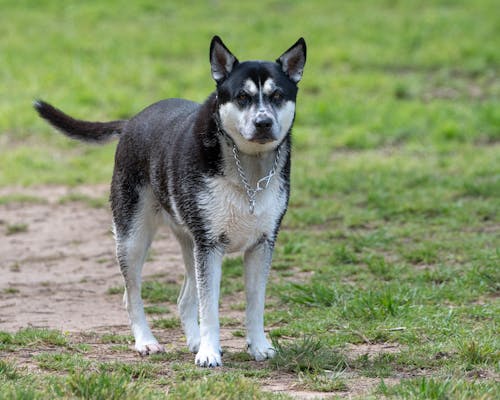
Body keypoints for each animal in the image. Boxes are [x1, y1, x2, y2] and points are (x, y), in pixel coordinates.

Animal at [34, 36, 304, 368]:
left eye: (278, 95)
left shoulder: (261, 243)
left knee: (184, 297)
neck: (247, 169)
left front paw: (259, 346)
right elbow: (209, 307)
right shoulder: (210, 245)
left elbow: (255, 304)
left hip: (188, 242)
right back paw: (146, 342)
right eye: (242, 97)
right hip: (132, 238)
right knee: (131, 294)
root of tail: (131, 122)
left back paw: (193, 340)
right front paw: (209, 353)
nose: (263, 122)